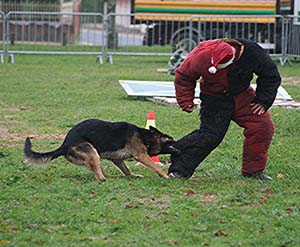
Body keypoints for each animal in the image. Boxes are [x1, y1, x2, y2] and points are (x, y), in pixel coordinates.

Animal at [23, 118, 179, 180]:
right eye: (170, 139)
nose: (180, 145)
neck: (144, 136)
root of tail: (64, 145)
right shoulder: (141, 155)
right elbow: (155, 166)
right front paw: (165, 175)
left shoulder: (117, 159)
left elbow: (126, 170)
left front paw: (132, 176)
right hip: (91, 151)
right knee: (98, 174)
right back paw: (103, 179)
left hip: (93, 155)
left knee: (98, 169)